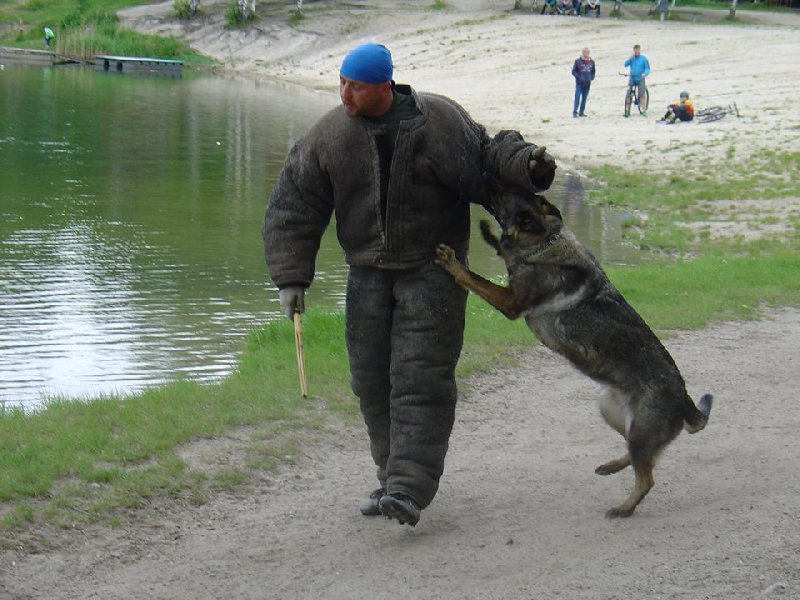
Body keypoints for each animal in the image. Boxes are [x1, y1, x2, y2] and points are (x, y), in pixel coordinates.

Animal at [438, 176, 712, 516]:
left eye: (506, 198)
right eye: (516, 194)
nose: (491, 183)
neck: (547, 240)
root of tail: (685, 400)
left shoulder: (510, 302)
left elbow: (477, 279)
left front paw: (455, 263)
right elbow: (503, 251)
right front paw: (491, 236)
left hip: (639, 431)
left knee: (646, 478)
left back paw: (624, 508)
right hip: (610, 411)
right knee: (638, 457)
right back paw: (613, 466)